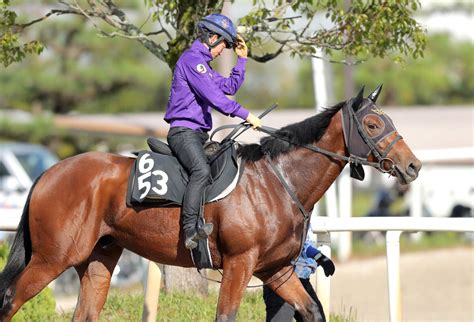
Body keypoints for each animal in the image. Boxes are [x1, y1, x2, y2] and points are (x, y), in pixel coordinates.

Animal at [0, 86, 422, 322]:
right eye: (373, 125)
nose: (413, 166)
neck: (275, 182)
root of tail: (50, 172)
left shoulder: (276, 271)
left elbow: (311, 310)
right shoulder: (239, 264)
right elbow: (226, 315)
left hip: (98, 259)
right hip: (53, 258)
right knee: (9, 300)